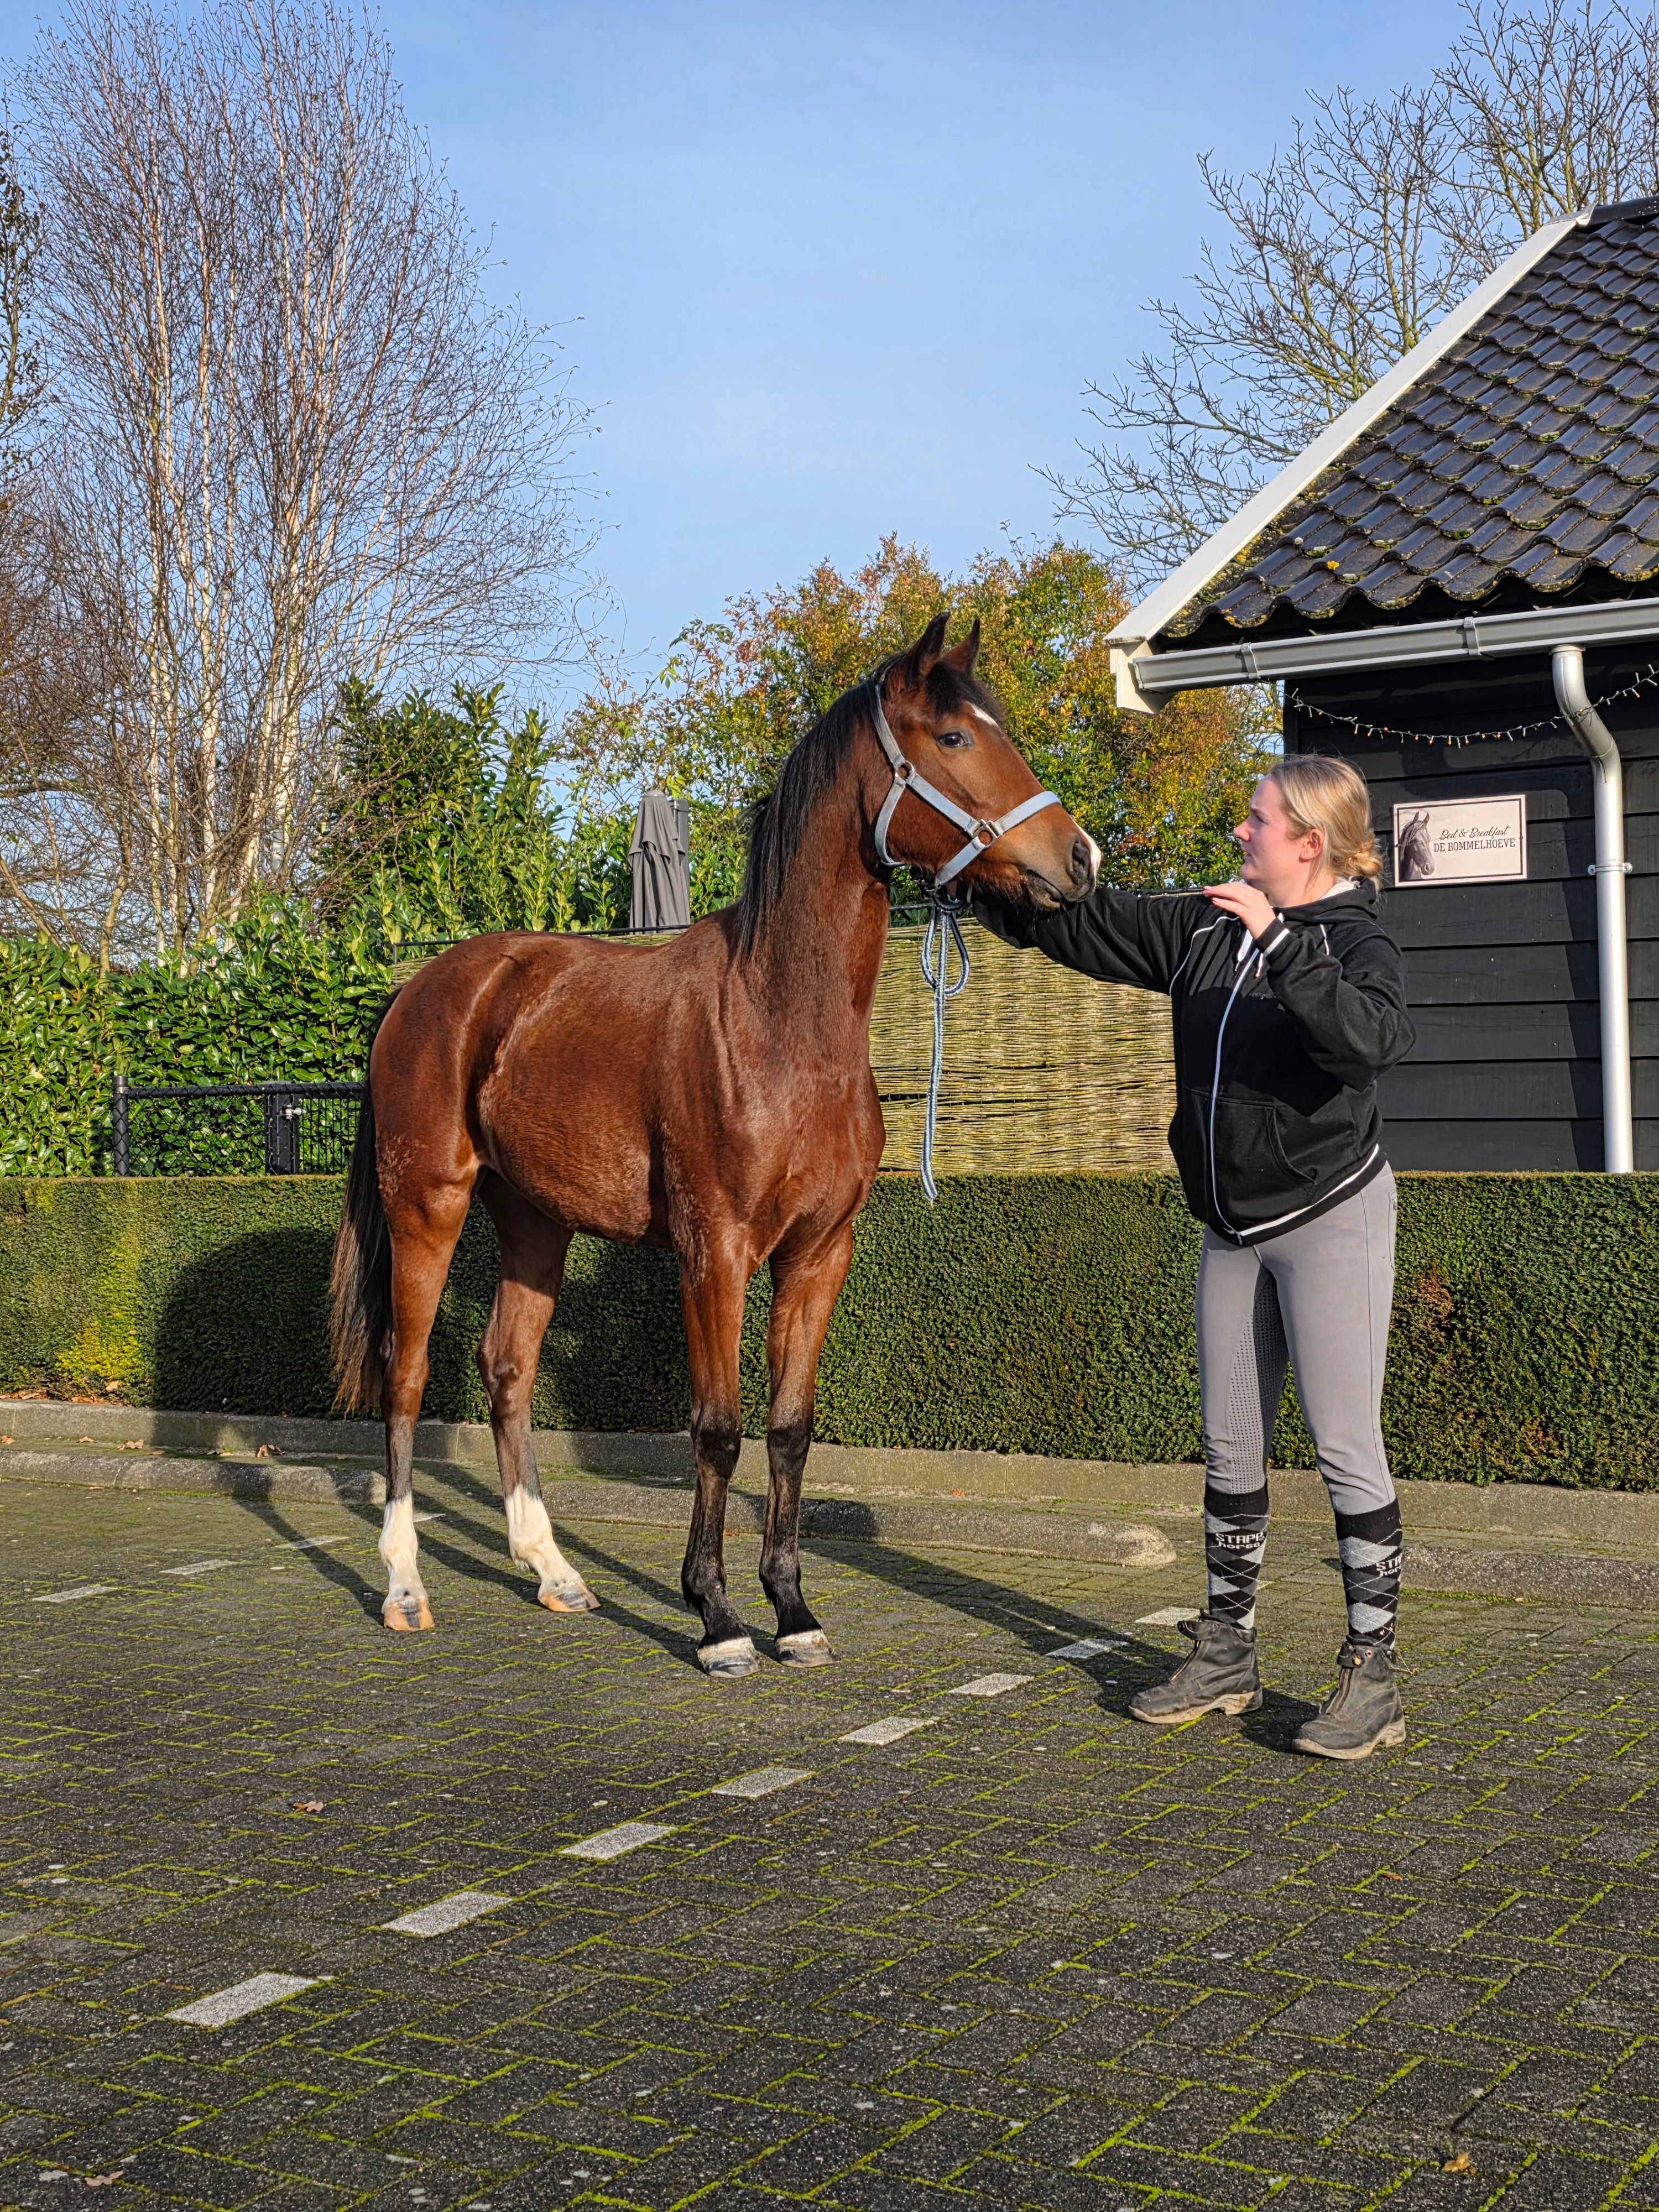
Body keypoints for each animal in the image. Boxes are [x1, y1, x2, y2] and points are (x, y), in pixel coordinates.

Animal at [328, 614, 1096, 1677]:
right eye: (952, 737)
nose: (1081, 859)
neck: (780, 1023)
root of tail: (422, 989)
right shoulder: (715, 1253)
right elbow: (719, 1431)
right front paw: (719, 1617)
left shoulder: (818, 1255)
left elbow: (789, 1431)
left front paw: (794, 1611)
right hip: (428, 1206)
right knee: (404, 1377)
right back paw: (404, 1586)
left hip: (535, 1223)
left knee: (507, 1370)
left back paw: (554, 1572)